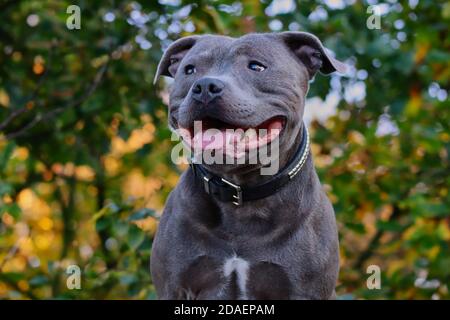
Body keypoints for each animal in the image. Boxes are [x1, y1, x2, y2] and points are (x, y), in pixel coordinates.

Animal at [153, 31, 346, 298]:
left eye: (256, 66)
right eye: (189, 70)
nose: (205, 87)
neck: (241, 194)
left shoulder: (305, 289)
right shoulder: (174, 287)